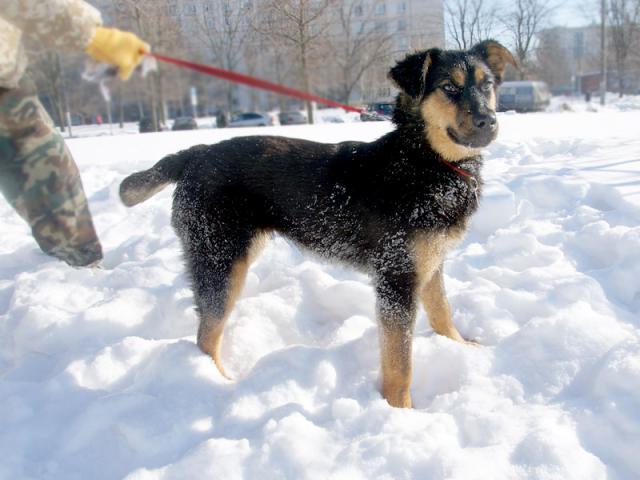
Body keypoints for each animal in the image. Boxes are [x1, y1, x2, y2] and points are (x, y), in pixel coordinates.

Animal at [120, 42, 516, 408]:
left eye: (487, 85)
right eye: (449, 87)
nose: (489, 121)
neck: (425, 160)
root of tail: (194, 154)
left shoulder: (429, 264)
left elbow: (442, 313)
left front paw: (461, 348)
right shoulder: (397, 280)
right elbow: (400, 363)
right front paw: (400, 412)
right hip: (222, 263)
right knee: (206, 336)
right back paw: (215, 383)